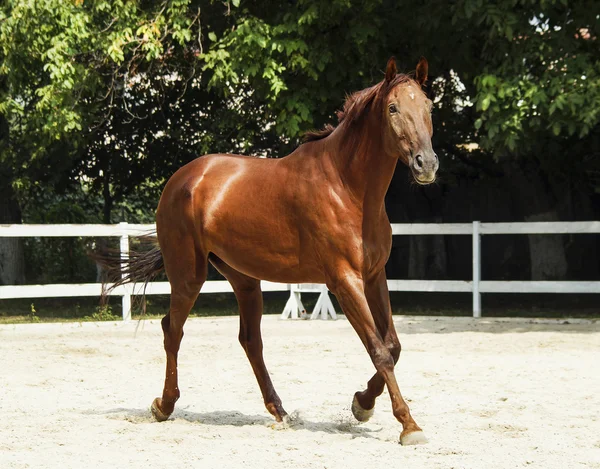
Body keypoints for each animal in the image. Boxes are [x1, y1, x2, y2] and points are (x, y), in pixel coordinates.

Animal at [115, 56, 438, 444]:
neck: (347, 187)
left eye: (428, 106)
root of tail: (182, 179)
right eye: (392, 108)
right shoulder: (344, 281)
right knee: (172, 330)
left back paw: (278, 410)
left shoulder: (375, 276)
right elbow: (379, 350)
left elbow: (393, 346)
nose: (426, 164)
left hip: (244, 279)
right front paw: (409, 425)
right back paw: (163, 405)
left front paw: (362, 403)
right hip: (188, 276)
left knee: (250, 340)